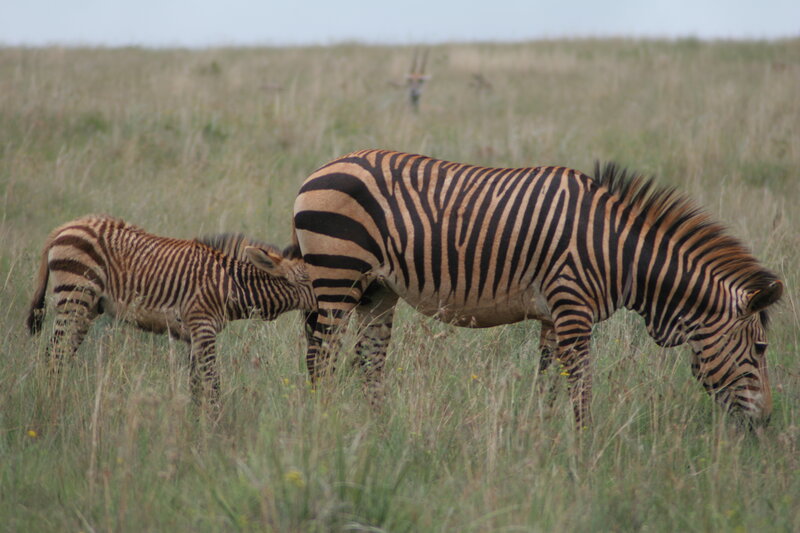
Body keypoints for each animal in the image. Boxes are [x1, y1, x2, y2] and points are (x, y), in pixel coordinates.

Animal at [26, 214, 316, 411]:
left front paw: (196, 424)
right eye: (309, 281)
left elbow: (196, 384)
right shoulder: (203, 326)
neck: (230, 285)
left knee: (61, 354)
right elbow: (212, 382)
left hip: (85, 308)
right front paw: (214, 430)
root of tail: (65, 227)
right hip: (75, 297)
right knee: (54, 354)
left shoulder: (194, 334)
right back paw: (52, 401)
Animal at [291, 149, 783, 428]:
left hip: (377, 289)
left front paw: (543, 439)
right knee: (321, 358)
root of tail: (320, 168)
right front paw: (585, 452)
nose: (766, 423)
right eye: (760, 349)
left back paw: (378, 433)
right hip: (339, 274)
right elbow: (581, 386)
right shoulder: (573, 308)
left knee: (368, 361)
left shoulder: (552, 315)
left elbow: (547, 383)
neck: (618, 252)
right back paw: (322, 427)